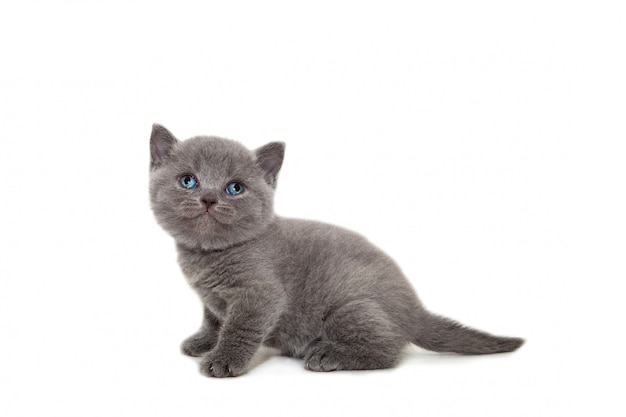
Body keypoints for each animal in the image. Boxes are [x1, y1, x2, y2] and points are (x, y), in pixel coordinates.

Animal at [147, 123, 520, 376]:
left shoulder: (259, 295)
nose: (209, 198)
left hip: (348, 307)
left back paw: (328, 355)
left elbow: (239, 329)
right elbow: (214, 320)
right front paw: (204, 342)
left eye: (234, 188)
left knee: (388, 351)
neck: (210, 253)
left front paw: (224, 360)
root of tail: (415, 309)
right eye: (188, 180)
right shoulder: (211, 298)